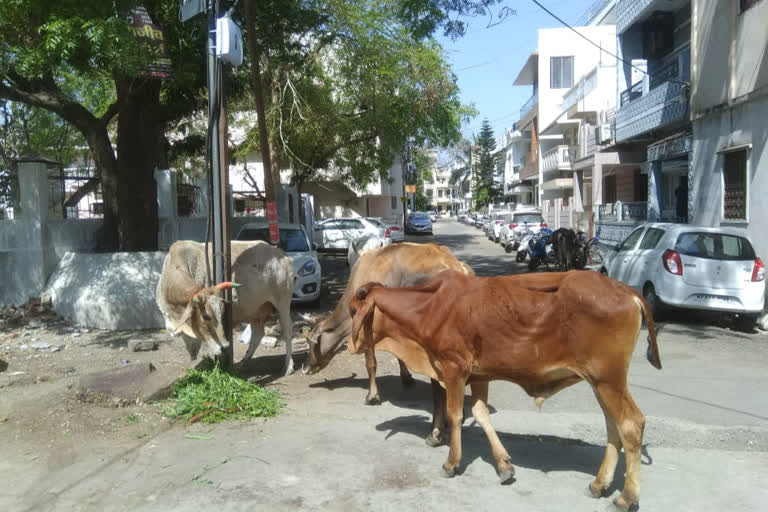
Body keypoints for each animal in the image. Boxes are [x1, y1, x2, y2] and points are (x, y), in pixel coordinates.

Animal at [157, 240, 296, 376]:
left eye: (222, 313)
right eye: (206, 316)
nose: (225, 346)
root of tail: (281, 254)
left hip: (283, 302)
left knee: (288, 328)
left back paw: (288, 367)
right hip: (255, 310)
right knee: (258, 333)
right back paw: (242, 362)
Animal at [352, 270, 664, 510]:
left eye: (355, 310)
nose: (351, 346)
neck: (428, 307)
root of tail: (625, 290)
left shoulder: (454, 369)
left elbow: (455, 415)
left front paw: (452, 463)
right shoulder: (479, 375)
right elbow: (481, 414)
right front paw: (503, 466)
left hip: (608, 379)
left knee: (630, 425)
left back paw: (626, 497)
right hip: (601, 383)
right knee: (613, 427)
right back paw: (599, 484)